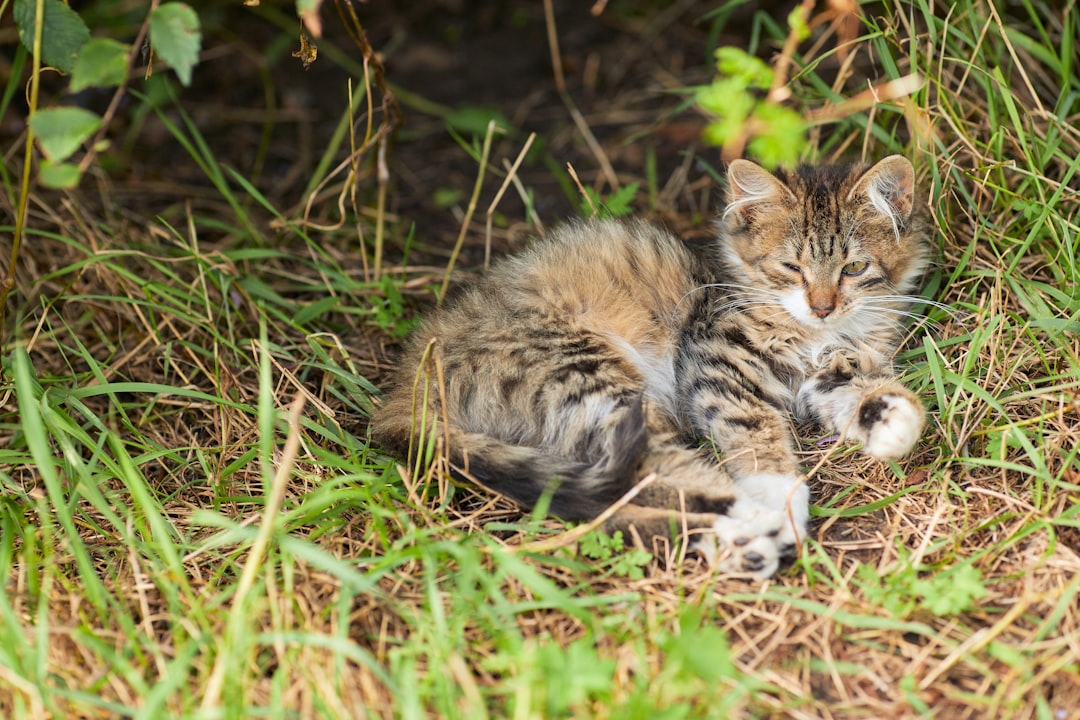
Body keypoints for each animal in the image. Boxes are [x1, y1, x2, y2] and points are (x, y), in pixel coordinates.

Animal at [371, 155, 928, 578]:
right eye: (791, 268)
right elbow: (756, 431)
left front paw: (893, 420)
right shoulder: (713, 362)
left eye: (853, 268)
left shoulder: (829, 370)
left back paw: (738, 545)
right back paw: (751, 524)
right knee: (650, 472)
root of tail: (405, 387)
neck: (817, 335)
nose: (822, 306)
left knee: (609, 507)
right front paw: (780, 495)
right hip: (594, 378)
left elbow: (860, 389)